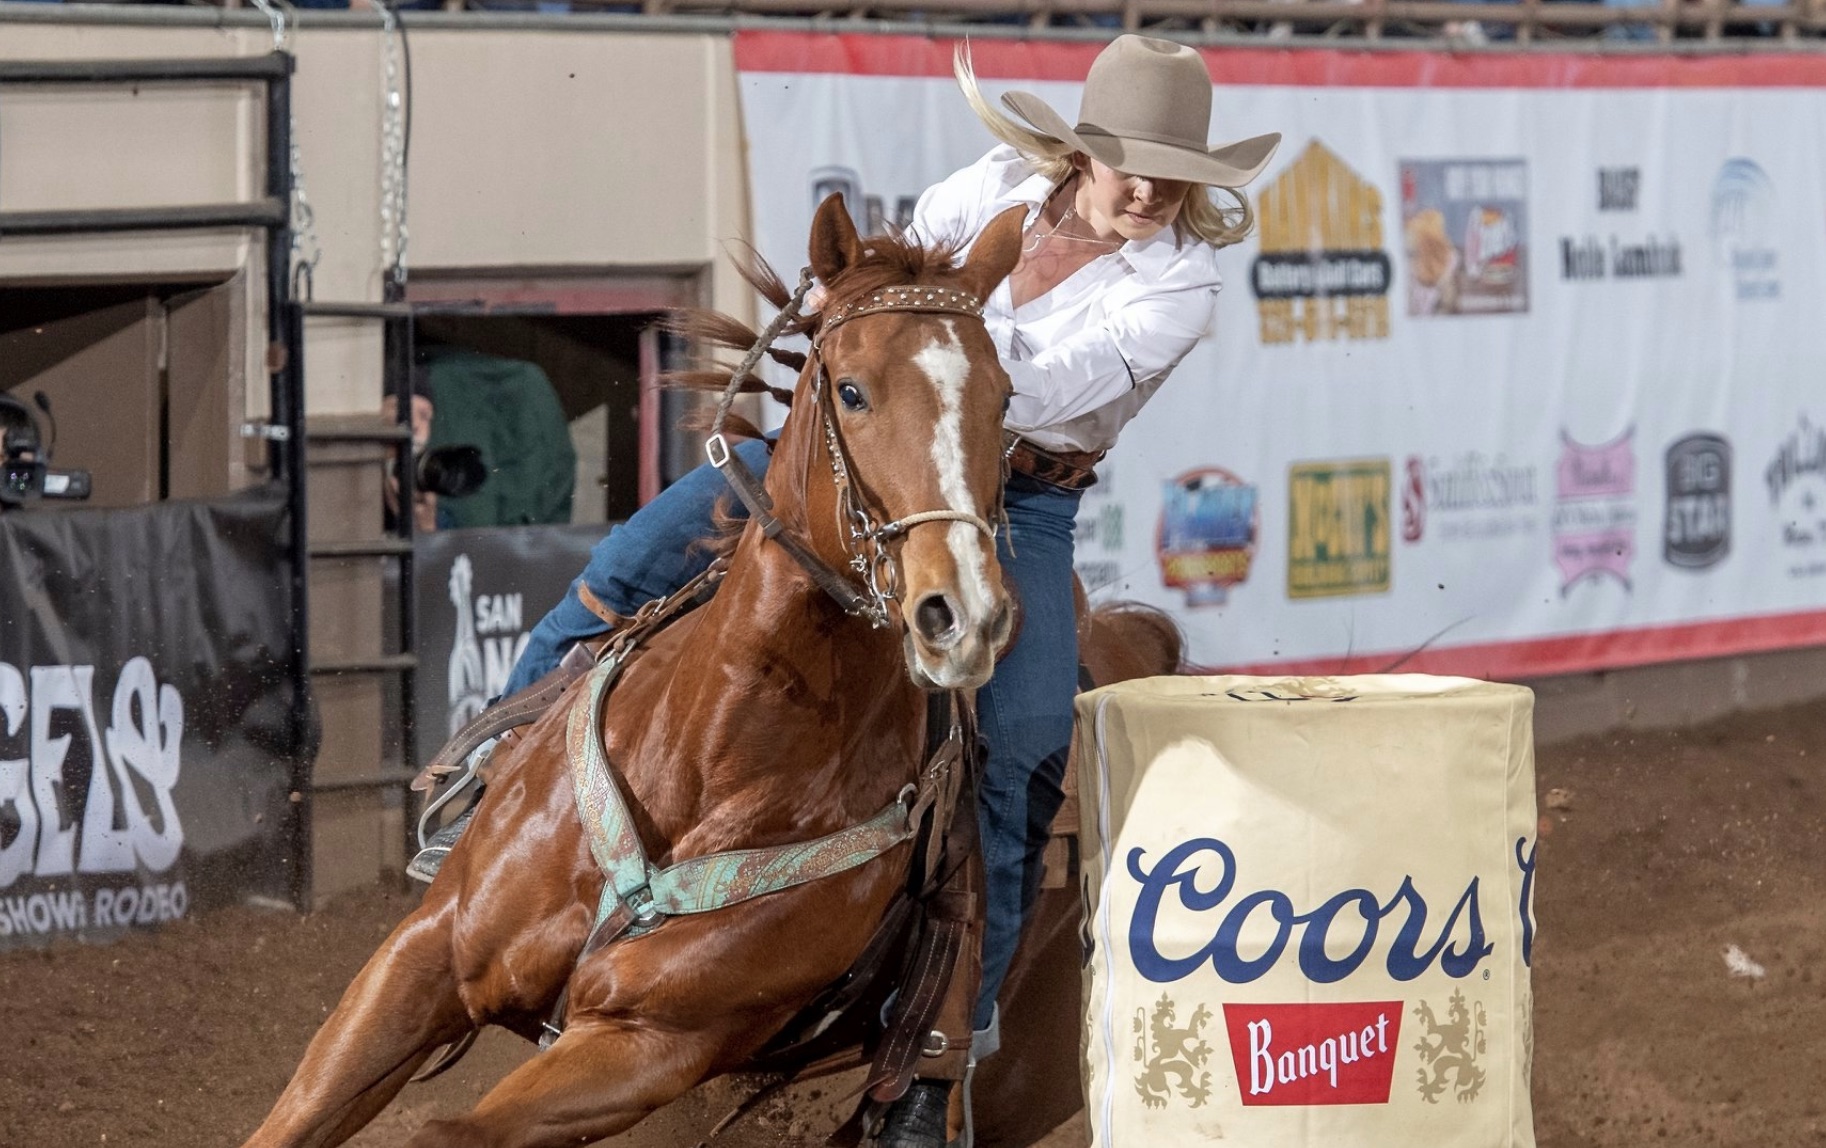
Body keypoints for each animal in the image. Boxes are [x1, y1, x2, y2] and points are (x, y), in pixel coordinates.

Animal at [246, 201, 1029, 1146]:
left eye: (1003, 398)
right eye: (851, 390)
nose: (964, 611)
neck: (709, 759)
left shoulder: (644, 1046)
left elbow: (448, 1132)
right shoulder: (426, 951)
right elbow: (296, 1117)